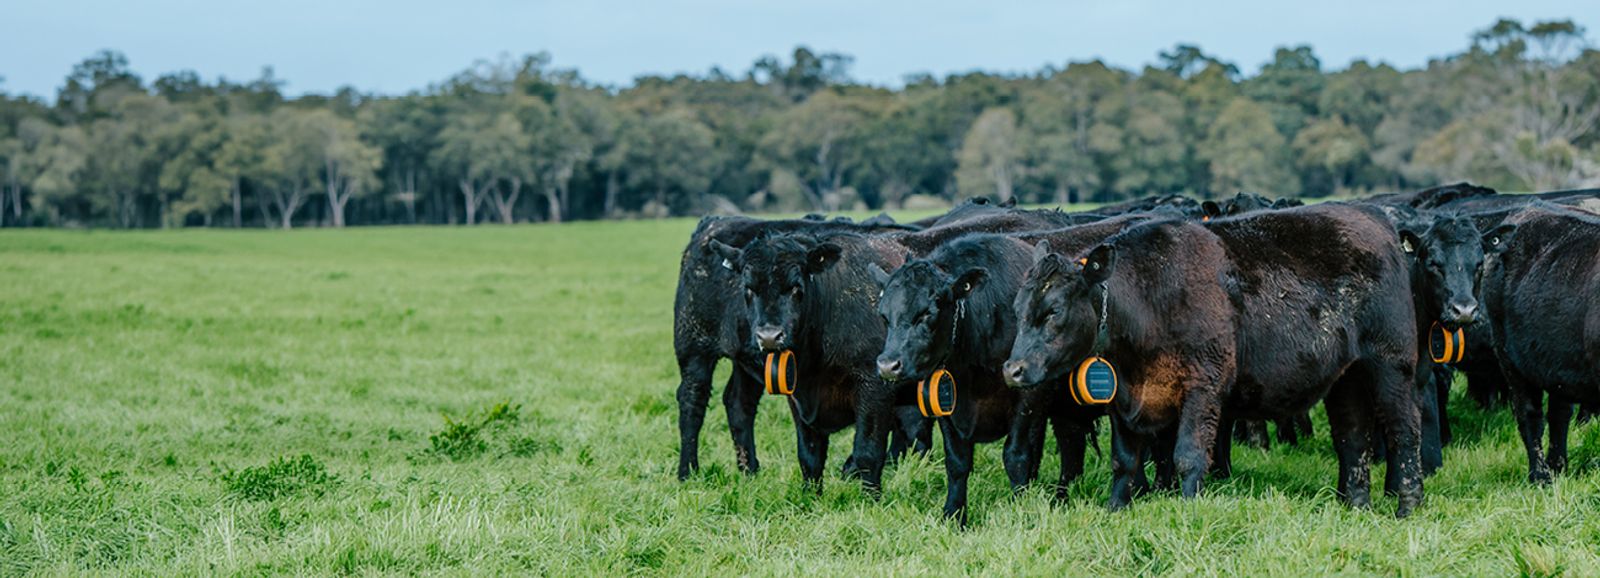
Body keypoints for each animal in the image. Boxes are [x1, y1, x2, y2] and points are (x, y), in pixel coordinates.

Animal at [1005, 204, 1425, 517]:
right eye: (1018, 308)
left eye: (1054, 310)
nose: (1013, 369)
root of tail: (1372, 217)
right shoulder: (1121, 398)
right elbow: (1124, 460)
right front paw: (1115, 509)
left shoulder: (1204, 386)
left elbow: (1188, 456)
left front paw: (1189, 509)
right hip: (1346, 377)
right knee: (1352, 437)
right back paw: (1356, 506)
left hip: (1391, 363)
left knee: (1404, 429)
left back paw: (1407, 506)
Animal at [1479, 204, 1600, 483]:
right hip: (1509, 359)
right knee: (1529, 415)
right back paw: (1541, 475)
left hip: (1556, 364)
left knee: (1559, 415)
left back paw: (1558, 467)